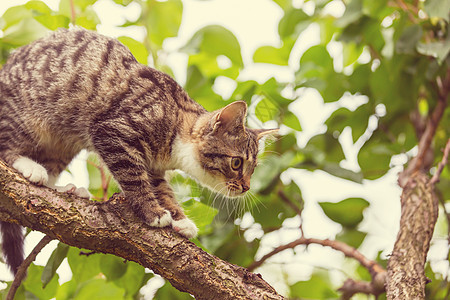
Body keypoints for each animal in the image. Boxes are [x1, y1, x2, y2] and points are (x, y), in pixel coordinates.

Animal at [0, 28, 276, 274]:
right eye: (237, 163)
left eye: (253, 169)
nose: (246, 187)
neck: (176, 124)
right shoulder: (110, 130)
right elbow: (134, 177)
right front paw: (153, 213)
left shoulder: (154, 166)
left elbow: (163, 189)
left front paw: (180, 220)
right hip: (29, 118)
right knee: (6, 147)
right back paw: (31, 168)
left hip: (63, 143)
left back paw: (62, 188)